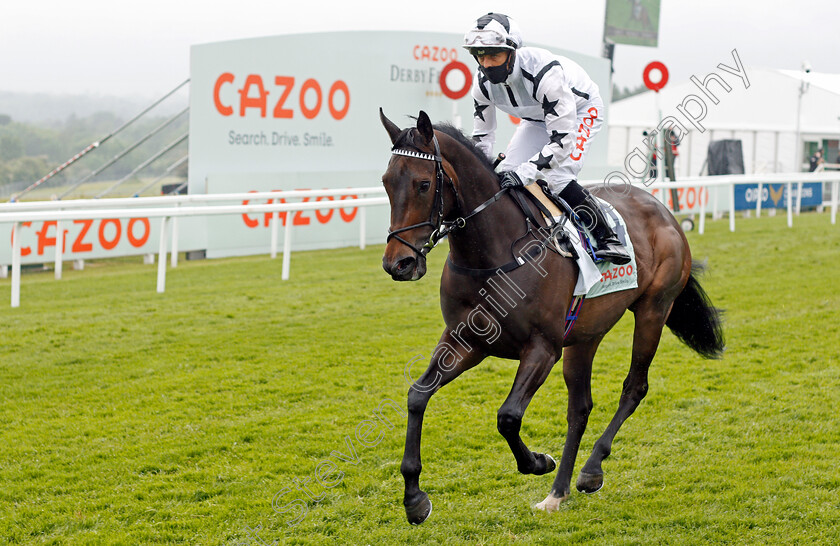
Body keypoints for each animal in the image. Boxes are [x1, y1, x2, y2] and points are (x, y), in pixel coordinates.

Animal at [378, 108, 720, 520]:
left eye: (424, 184)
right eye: (386, 182)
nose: (399, 263)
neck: (494, 252)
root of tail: (664, 211)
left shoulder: (542, 348)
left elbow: (508, 416)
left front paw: (539, 461)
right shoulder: (467, 341)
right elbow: (418, 394)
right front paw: (414, 498)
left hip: (653, 309)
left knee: (634, 387)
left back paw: (590, 470)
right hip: (585, 335)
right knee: (580, 408)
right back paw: (558, 492)